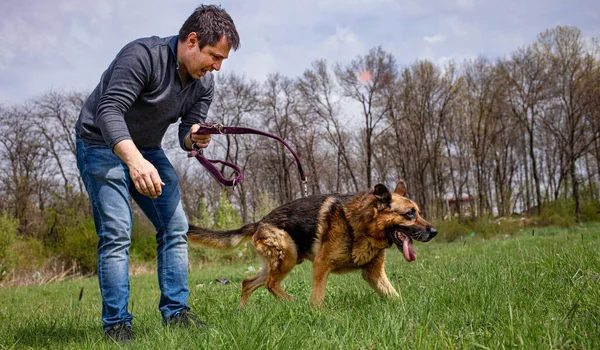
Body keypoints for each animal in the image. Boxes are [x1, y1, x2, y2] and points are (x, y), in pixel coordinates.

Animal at [188, 179, 436, 308]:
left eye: (419, 212)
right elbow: (317, 297)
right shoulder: (321, 265)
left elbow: (394, 295)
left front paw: (405, 310)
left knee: (248, 283)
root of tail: (260, 221)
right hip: (288, 256)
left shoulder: (373, 274)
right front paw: (315, 314)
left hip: (279, 261)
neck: (362, 224)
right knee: (270, 284)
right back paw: (292, 302)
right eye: (410, 214)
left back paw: (243, 311)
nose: (434, 231)